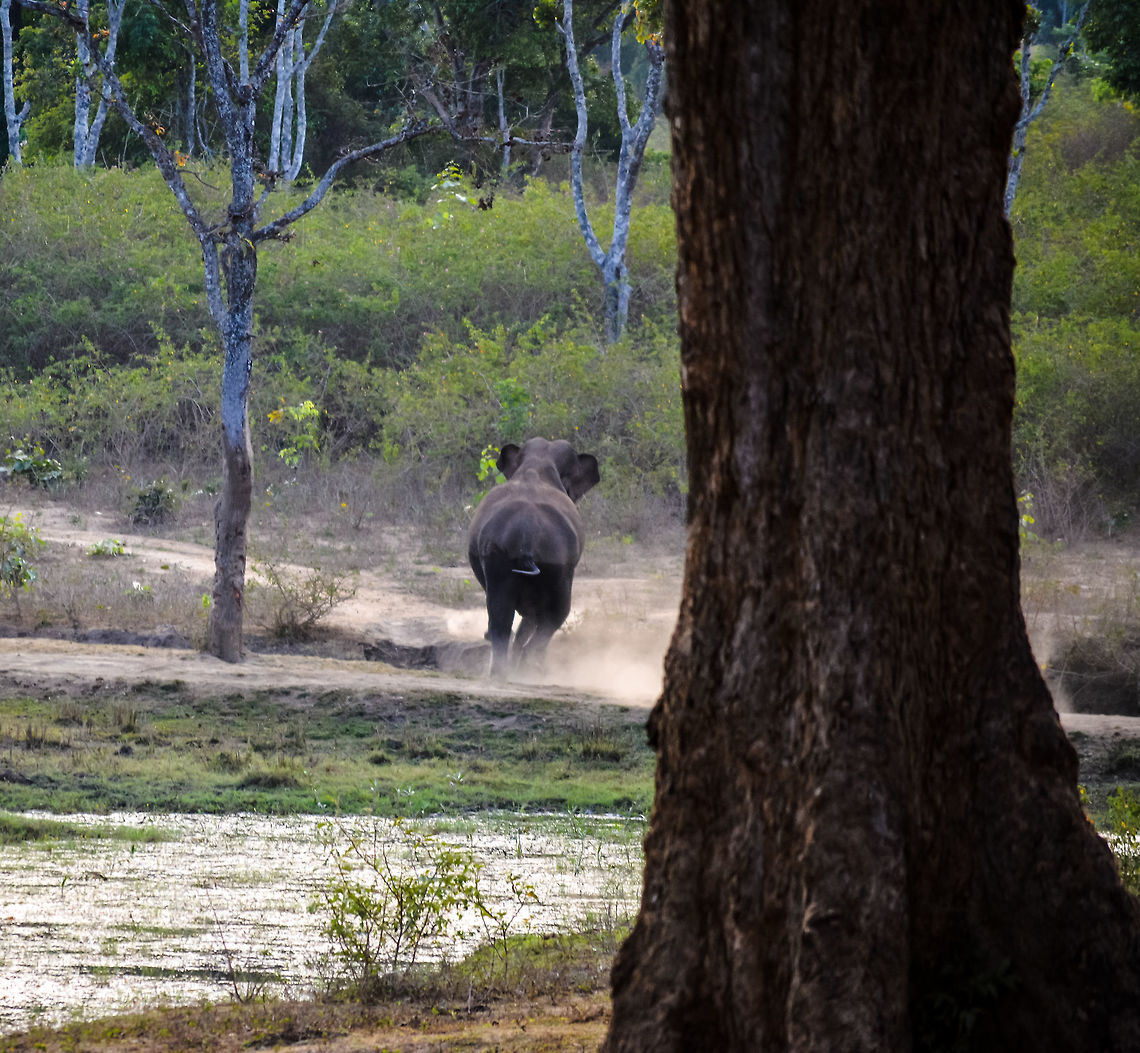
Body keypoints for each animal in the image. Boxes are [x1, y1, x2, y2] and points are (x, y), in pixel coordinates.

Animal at [467, 437, 600, 678]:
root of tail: (527, 536)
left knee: (501, 614)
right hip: (557, 568)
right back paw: (530, 668)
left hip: (501, 560)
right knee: (555, 614)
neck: (538, 463)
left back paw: (504, 671)